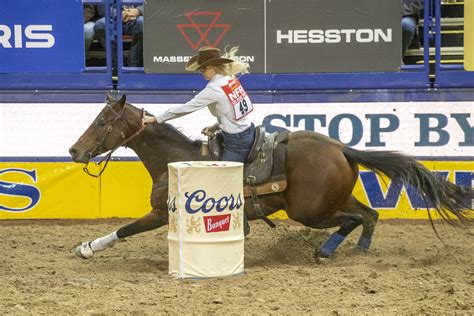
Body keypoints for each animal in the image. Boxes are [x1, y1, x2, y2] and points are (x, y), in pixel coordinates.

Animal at [68, 95, 472, 260]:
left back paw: (330, 250)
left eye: (102, 121)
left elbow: (125, 229)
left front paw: (86, 247)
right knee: (369, 215)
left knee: (356, 218)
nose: (74, 151)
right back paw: (347, 250)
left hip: (310, 211)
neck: (176, 160)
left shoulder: (159, 214)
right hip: (334, 198)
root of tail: (341, 149)